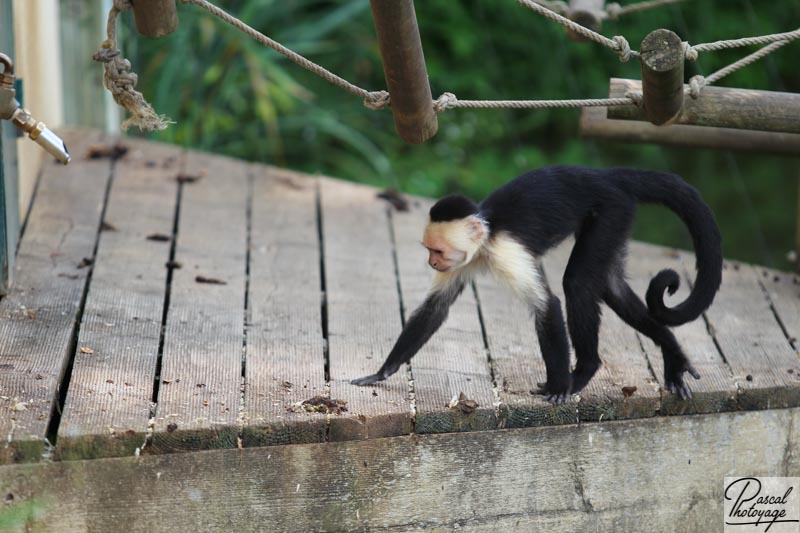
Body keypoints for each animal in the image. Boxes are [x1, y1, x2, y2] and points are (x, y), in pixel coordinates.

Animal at [354, 164, 720, 402]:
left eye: (437, 250)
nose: (432, 262)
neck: (485, 240)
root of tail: (606, 174)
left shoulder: (505, 251)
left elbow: (547, 305)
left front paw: (557, 387)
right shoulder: (463, 261)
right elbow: (435, 308)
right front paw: (384, 371)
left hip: (611, 209)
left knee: (579, 283)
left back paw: (585, 370)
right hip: (618, 217)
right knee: (612, 285)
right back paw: (671, 352)